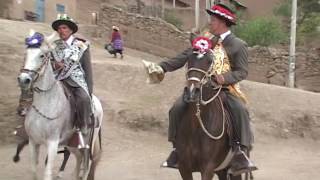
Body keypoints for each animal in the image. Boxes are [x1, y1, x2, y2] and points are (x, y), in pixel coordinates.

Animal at [17, 31, 103, 180]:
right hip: (73, 143)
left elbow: (47, 173)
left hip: (87, 144)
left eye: (42, 55)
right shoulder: (33, 141)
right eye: (26, 53)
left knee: (86, 166)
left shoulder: (52, 144)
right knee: (78, 158)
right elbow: (34, 170)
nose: (24, 79)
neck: (46, 104)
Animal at [176, 49, 241, 180]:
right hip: (221, 170)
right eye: (188, 58)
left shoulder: (208, 168)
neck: (196, 127)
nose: (192, 92)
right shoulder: (184, 167)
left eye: (209, 61)